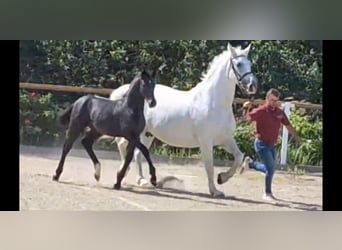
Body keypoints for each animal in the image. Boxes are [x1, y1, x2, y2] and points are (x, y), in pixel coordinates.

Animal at [109, 42, 256, 196]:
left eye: (250, 63)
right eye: (239, 64)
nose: (252, 86)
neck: (214, 102)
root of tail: (126, 92)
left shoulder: (225, 139)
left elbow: (239, 157)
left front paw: (222, 178)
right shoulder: (206, 142)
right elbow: (209, 166)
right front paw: (215, 191)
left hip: (148, 134)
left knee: (137, 153)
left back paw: (142, 180)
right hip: (137, 132)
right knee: (123, 145)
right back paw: (125, 172)